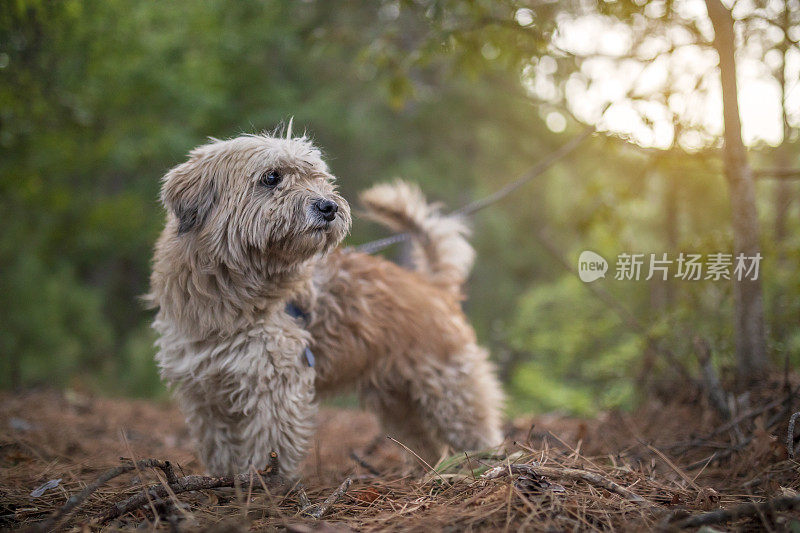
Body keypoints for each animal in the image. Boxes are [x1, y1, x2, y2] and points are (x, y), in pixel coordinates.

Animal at [147, 131, 504, 476]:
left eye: (318, 178)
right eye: (272, 177)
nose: (328, 206)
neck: (227, 296)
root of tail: (433, 286)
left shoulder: (275, 384)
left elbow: (268, 445)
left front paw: (263, 488)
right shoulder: (203, 391)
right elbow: (219, 448)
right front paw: (228, 485)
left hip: (451, 390)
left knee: (476, 432)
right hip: (397, 402)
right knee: (428, 445)